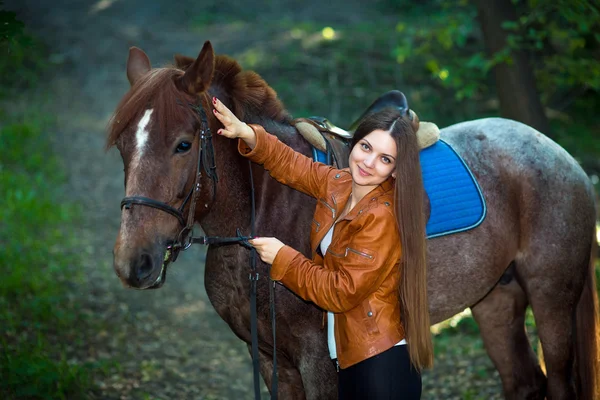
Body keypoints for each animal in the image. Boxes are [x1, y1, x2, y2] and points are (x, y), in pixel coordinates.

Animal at [105, 41, 596, 400]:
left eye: (183, 145)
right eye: (123, 145)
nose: (134, 262)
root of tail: (565, 159)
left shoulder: (319, 362)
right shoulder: (269, 358)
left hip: (552, 300)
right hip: (496, 299)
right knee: (524, 382)